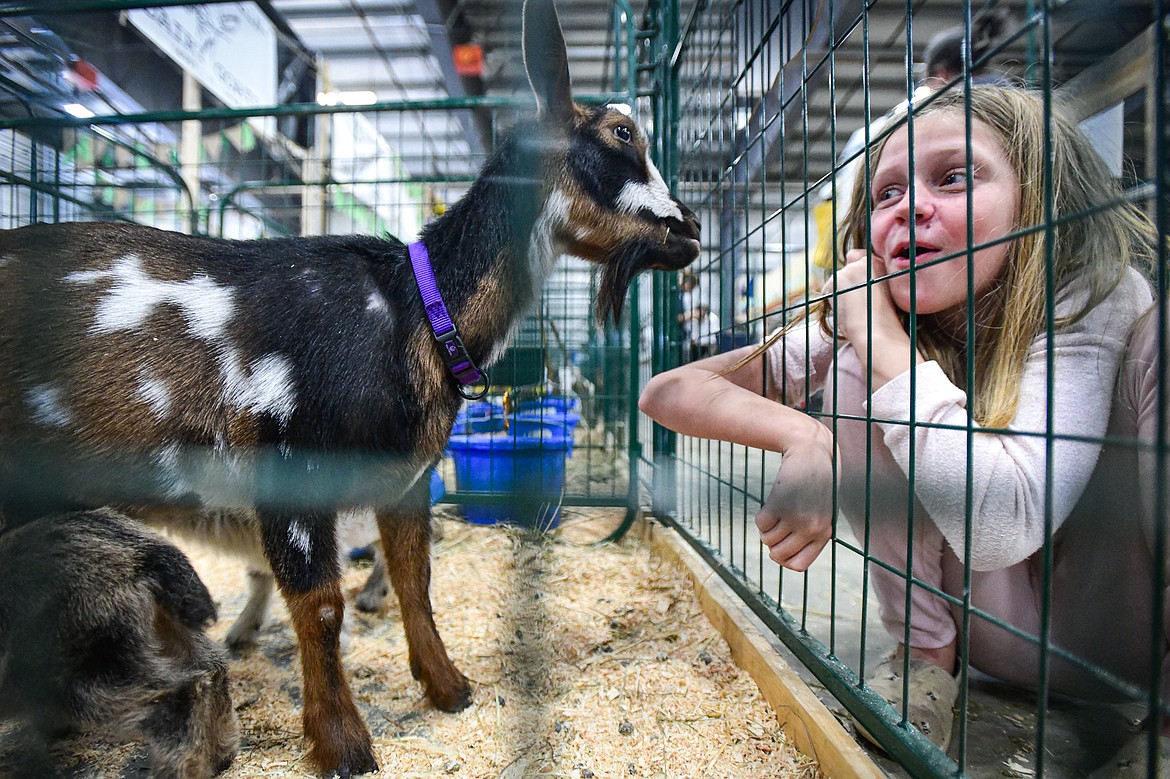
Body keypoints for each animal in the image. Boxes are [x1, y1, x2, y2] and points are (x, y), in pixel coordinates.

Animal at [0, 507, 238, 771]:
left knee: (176, 694)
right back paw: (220, 753)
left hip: (90, 672)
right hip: (168, 632)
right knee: (213, 669)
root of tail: (143, 552)